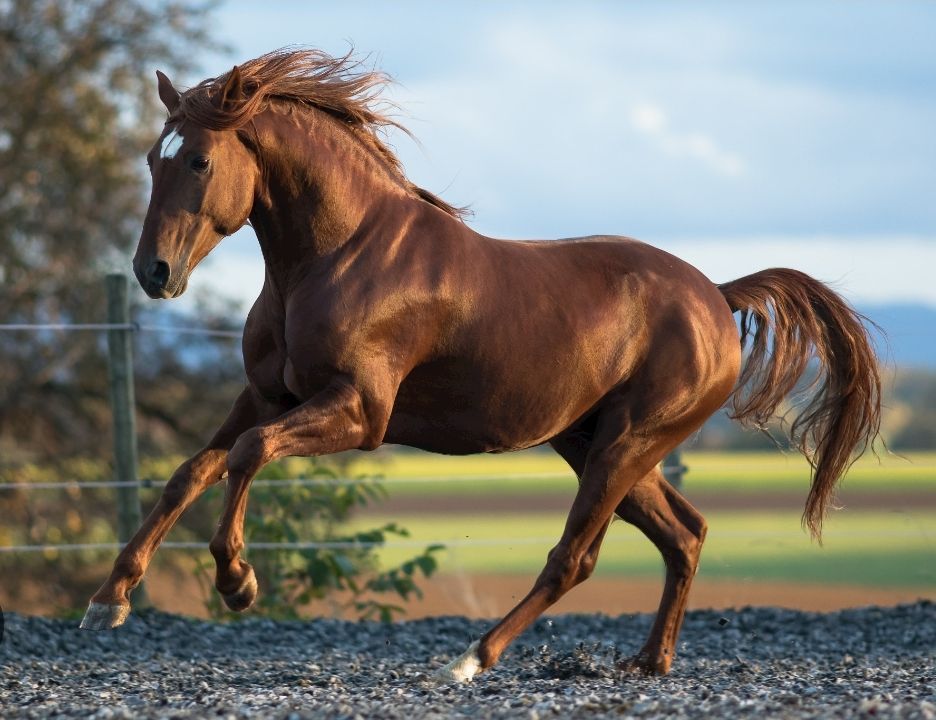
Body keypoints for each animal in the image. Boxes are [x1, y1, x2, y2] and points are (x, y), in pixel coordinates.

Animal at [80, 49, 881, 681]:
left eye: (199, 160)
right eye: (152, 159)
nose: (153, 272)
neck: (337, 256)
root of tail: (716, 296)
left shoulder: (359, 413)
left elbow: (246, 456)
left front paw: (238, 582)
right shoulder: (265, 396)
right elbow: (192, 470)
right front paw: (108, 600)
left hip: (626, 443)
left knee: (576, 557)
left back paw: (471, 658)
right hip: (594, 442)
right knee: (684, 534)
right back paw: (649, 662)